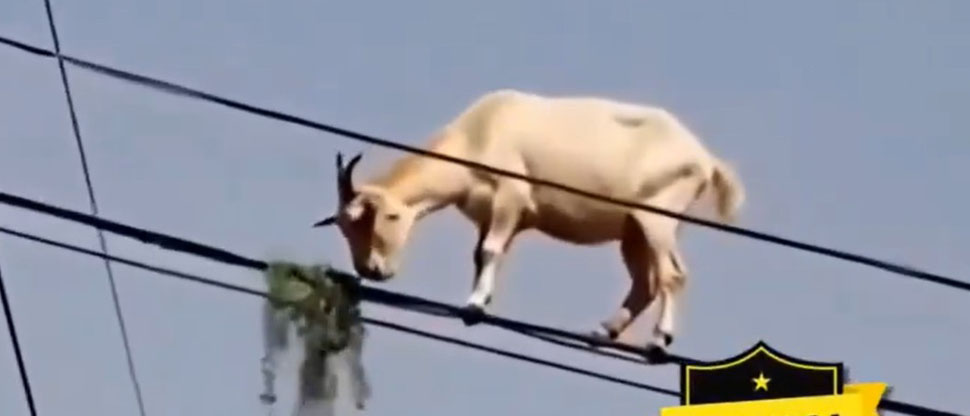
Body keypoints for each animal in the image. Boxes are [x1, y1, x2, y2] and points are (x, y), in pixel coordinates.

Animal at [313, 89, 745, 352]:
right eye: (345, 227)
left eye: (386, 215)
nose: (373, 269)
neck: (479, 134)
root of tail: (704, 158)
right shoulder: (492, 214)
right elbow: (481, 254)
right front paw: (476, 304)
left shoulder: (511, 197)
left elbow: (490, 251)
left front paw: (475, 304)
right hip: (633, 230)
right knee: (646, 282)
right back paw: (603, 331)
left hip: (657, 217)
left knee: (673, 276)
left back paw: (659, 340)